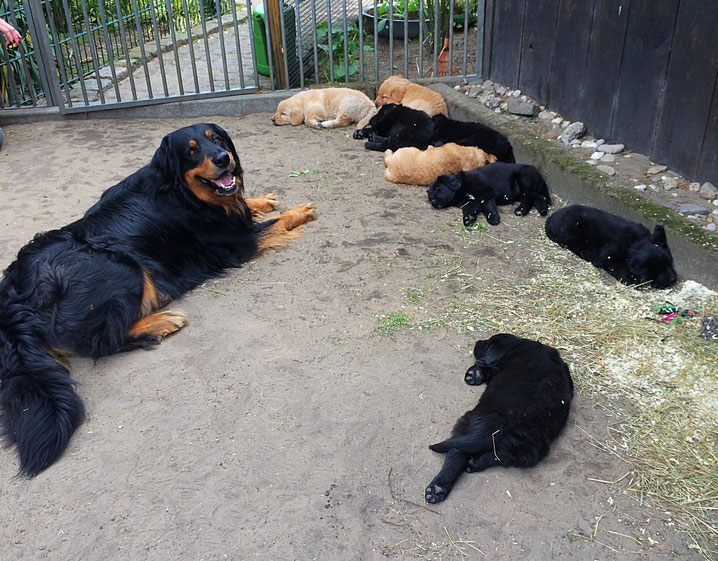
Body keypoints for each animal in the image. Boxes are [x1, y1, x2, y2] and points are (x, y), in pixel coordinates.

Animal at [0, 123, 316, 476]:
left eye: (218, 139)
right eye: (192, 150)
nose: (224, 158)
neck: (183, 193)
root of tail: (13, 296)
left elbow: (246, 205)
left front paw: (263, 200)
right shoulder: (238, 243)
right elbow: (275, 224)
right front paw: (299, 211)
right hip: (123, 267)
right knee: (104, 342)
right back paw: (163, 322)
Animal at [428, 332, 572, 504]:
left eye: (488, 343)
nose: (477, 342)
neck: (518, 344)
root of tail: (501, 426)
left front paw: (474, 373)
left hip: (468, 422)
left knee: (456, 453)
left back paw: (437, 487)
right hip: (531, 448)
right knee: (505, 456)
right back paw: (476, 463)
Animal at [544, 203, 680, 286]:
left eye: (669, 262)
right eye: (655, 271)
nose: (673, 279)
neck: (634, 244)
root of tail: (549, 219)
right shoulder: (610, 257)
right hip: (571, 230)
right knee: (576, 246)